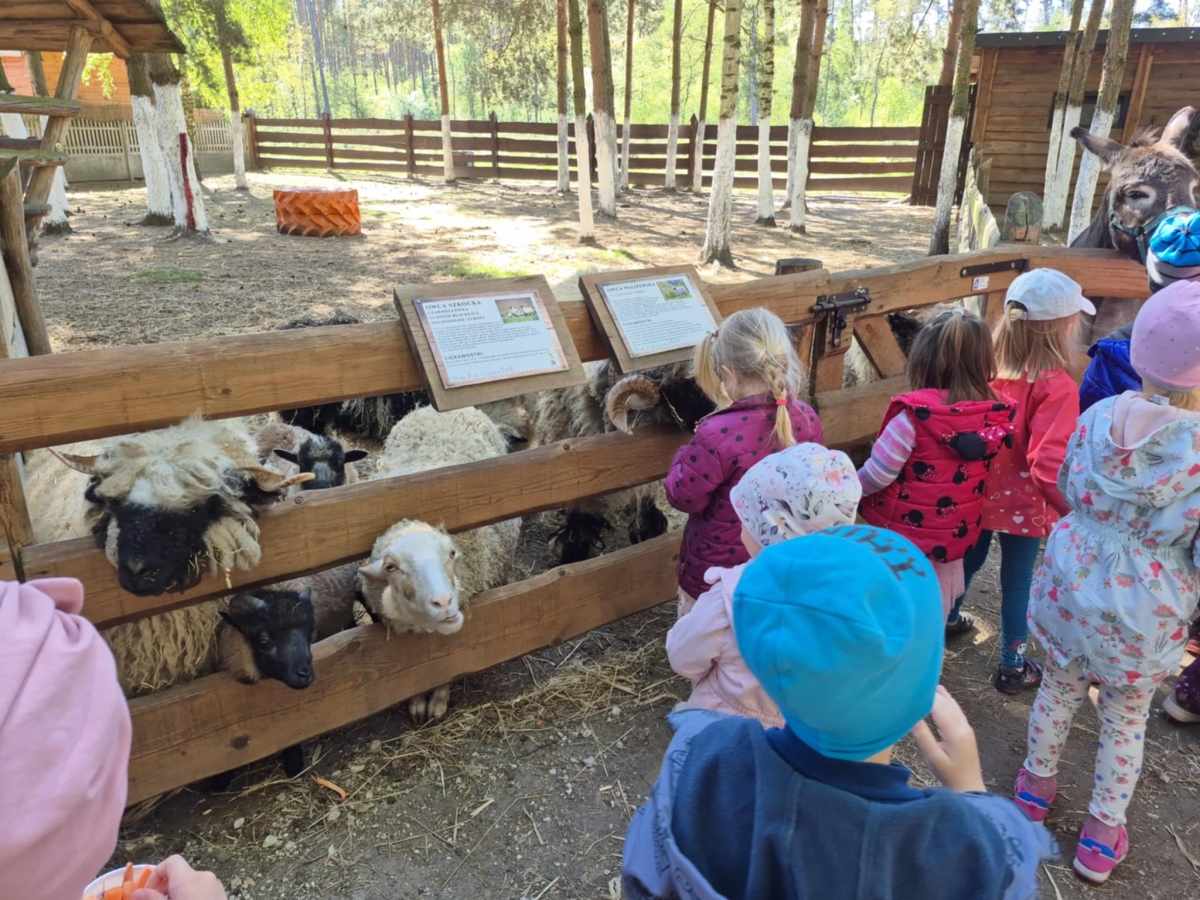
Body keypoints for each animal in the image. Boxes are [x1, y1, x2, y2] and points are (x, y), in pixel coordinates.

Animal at [358, 405, 521, 723]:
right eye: (390, 567)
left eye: (451, 553)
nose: (444, 602)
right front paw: (416, 702)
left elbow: (446, 663)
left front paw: (437, 702)